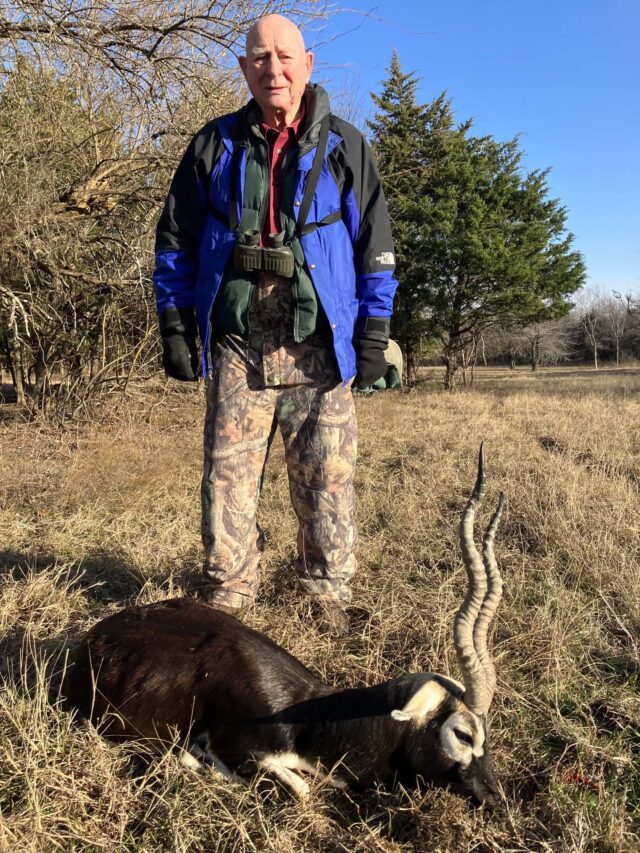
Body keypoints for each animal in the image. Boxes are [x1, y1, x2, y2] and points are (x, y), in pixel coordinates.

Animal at [63, 446, 505, 805]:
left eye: (487, 732)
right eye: (463, 734)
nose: (494, 794)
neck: (313, 722)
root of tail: (96, 636)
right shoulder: (239, 746)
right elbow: (302, 788)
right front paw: (200, 760)